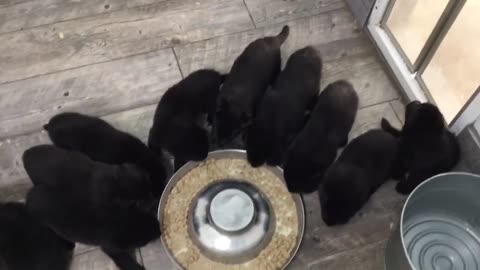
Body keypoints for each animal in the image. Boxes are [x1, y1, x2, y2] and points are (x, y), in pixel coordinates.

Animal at [26, 187, 159, 270]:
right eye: (145, 242)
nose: (159, 231)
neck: (119, 221)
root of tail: (29, 195)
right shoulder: (110, 247)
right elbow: (123, 259)